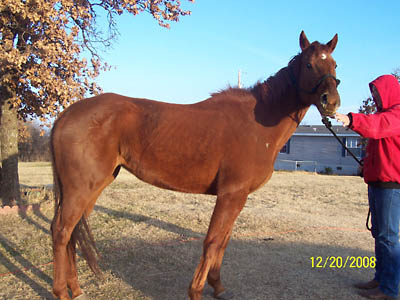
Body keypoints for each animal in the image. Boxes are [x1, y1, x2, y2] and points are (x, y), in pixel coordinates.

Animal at [50, 31, 340, 298]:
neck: (257, 124)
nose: (332, 101)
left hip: (95, 185)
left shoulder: (239, 198)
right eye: (309, 65)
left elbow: (223, 242)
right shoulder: (230, 195)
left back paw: (76, 289)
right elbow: (212, 242)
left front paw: (218, 286)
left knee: (73, 233)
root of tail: (65, 114)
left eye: (335, 65)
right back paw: (62, 291)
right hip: (81, 188)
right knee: (61, 231)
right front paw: (197, 290)